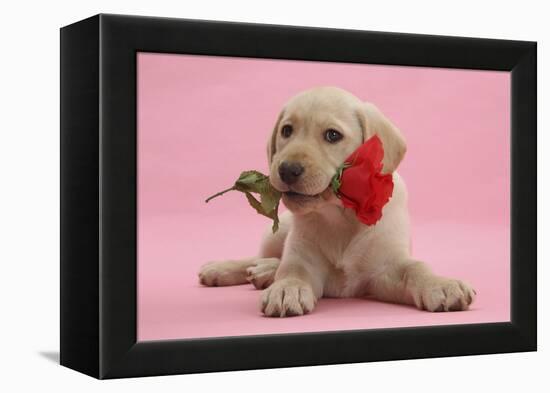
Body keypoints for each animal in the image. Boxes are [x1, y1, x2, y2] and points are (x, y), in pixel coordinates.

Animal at [201, 87, 476, 316]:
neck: (340, 215)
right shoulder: (304, 256)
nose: (287, 170)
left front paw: (441, 284)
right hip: (277, 233)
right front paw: (286, 288)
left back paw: (264, 272)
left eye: (332, 135)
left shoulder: (385, 269)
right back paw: (226, 269)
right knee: (262, 257)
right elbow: (293, 270)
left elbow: (415, 268)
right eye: (287, 131)